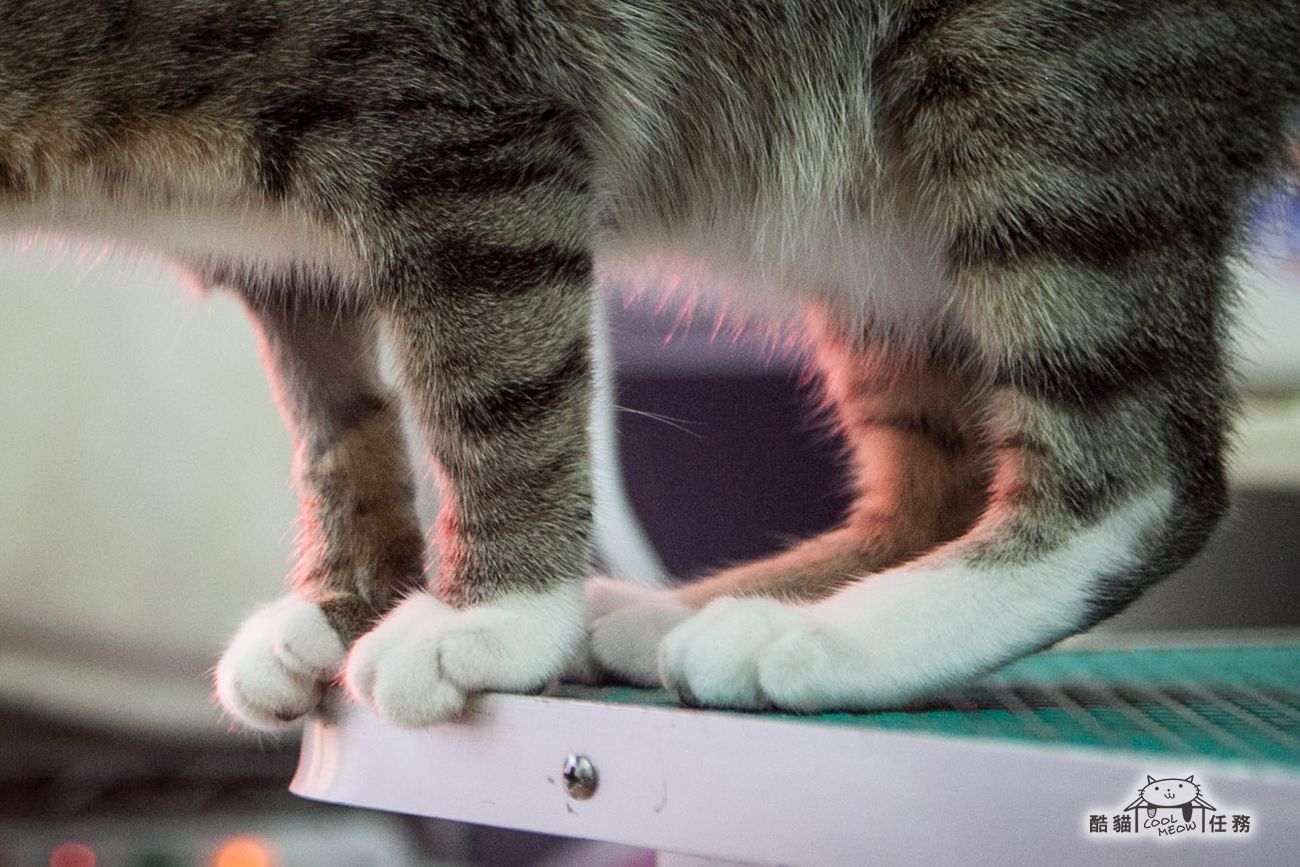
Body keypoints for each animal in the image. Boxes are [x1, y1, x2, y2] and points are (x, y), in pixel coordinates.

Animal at [3, 0, 1297, 730]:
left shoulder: (453, 126)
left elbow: (493, 391)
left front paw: (490, 617)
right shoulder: (280, 250)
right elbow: (339, 425)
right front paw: (347, 599)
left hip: (1038, 98)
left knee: (1145, 468)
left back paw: (829, 641)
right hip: (876, 227)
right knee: (942, 475)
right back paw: (710, 610)